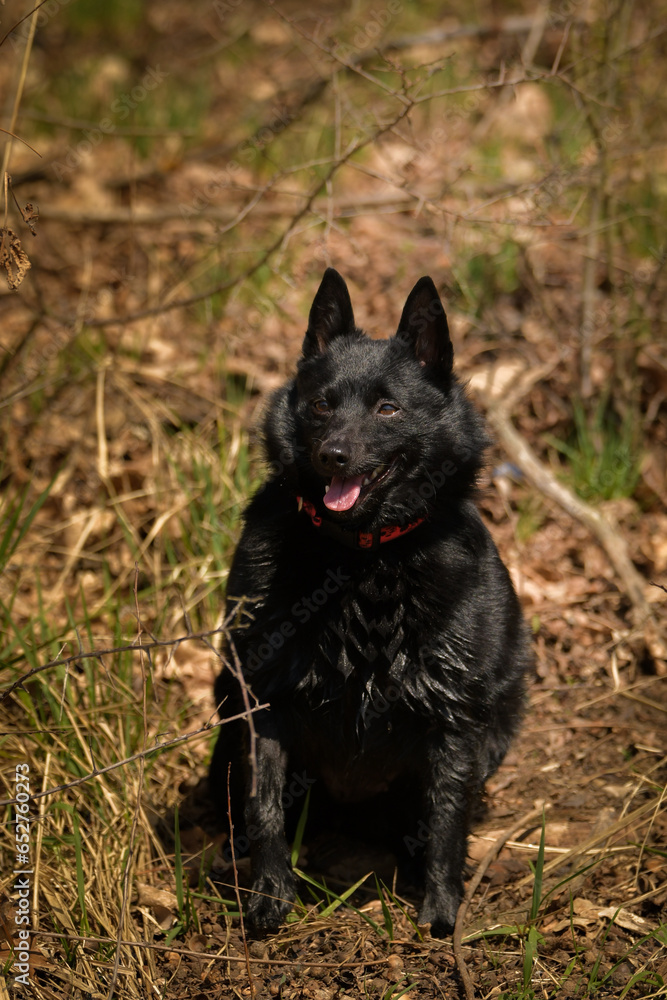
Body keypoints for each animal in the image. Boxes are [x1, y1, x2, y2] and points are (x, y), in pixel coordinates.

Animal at [211, 268, 528, 936]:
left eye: (388, 407)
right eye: (322, 403)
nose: (333, 455)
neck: (363, 561)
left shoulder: (454, 715)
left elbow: (445, 820)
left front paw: (440, 909)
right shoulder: (264, 696)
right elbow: (265, 805)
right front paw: (269, 894)